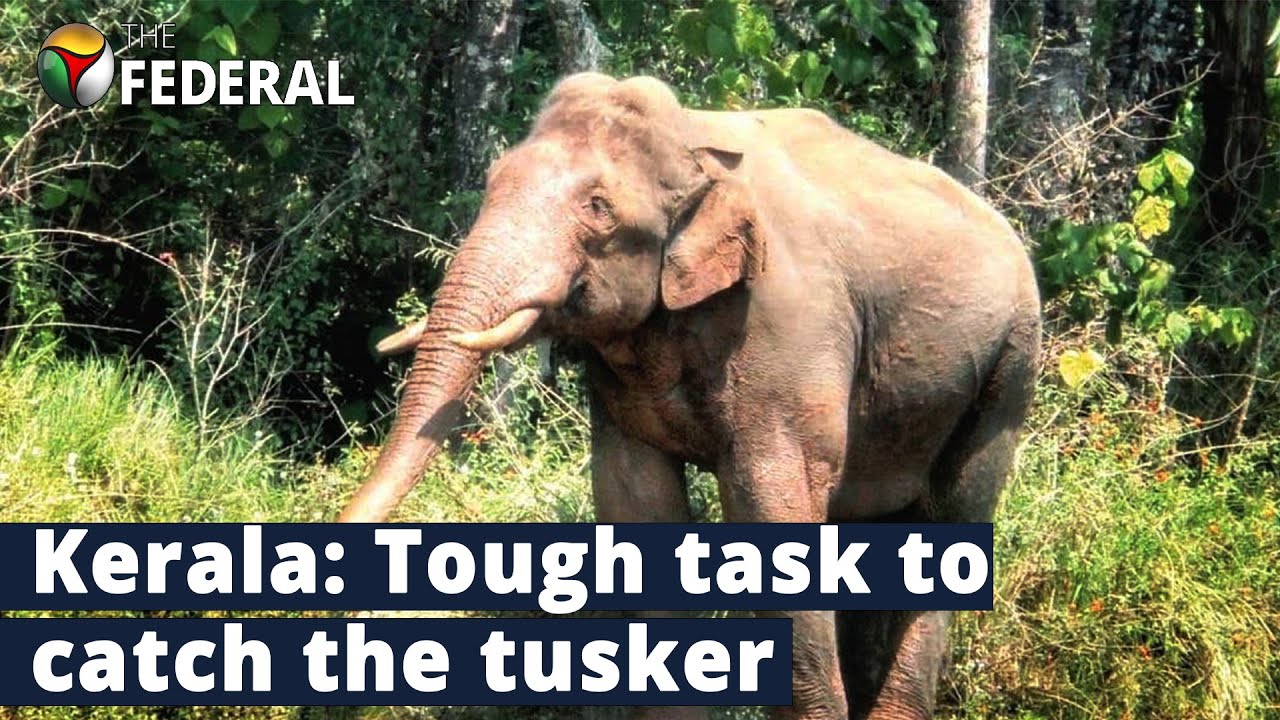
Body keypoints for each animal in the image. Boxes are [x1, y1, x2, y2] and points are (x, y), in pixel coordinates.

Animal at [340, 72, 1041, 720]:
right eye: (494, 180)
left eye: (599, 207)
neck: (693, 141)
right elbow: (636, 503)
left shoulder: (786, 327)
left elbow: (772, 504)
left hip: (1010, 365)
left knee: (955, 516)